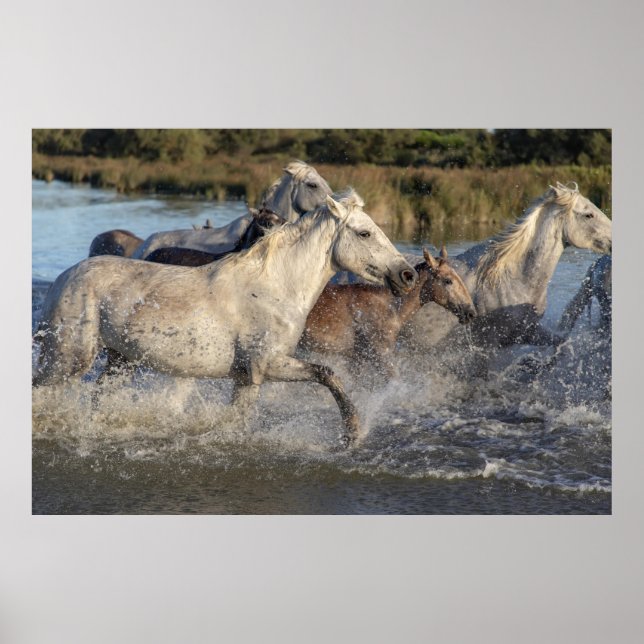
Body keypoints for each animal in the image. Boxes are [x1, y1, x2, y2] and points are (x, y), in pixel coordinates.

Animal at [404, 182, 612, 352]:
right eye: (589, 214)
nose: (613, 239)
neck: (513, 278)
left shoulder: (528, 332)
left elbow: (563, 345)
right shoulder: (488, 345)